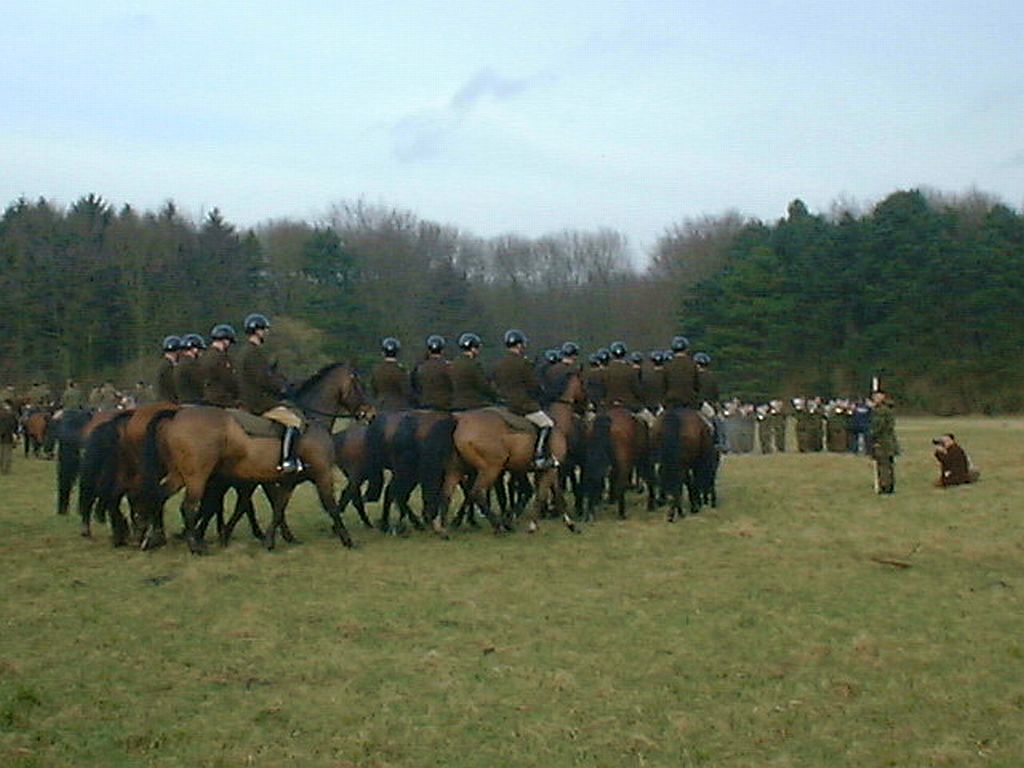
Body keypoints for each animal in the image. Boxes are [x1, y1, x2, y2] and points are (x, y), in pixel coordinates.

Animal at [141, 364, 368, 552]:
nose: (370, 413)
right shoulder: (322, 474)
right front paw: (347, 539)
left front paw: (269, 540)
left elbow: (277, 507)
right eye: (358, 386)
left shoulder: (287, 480)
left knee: (160, 496)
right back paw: (194, 545)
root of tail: (176, 415)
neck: (312, 420)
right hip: (197, 476)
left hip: (181, 474)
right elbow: (331, 505)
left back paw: (155, 537)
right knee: (188, 506)